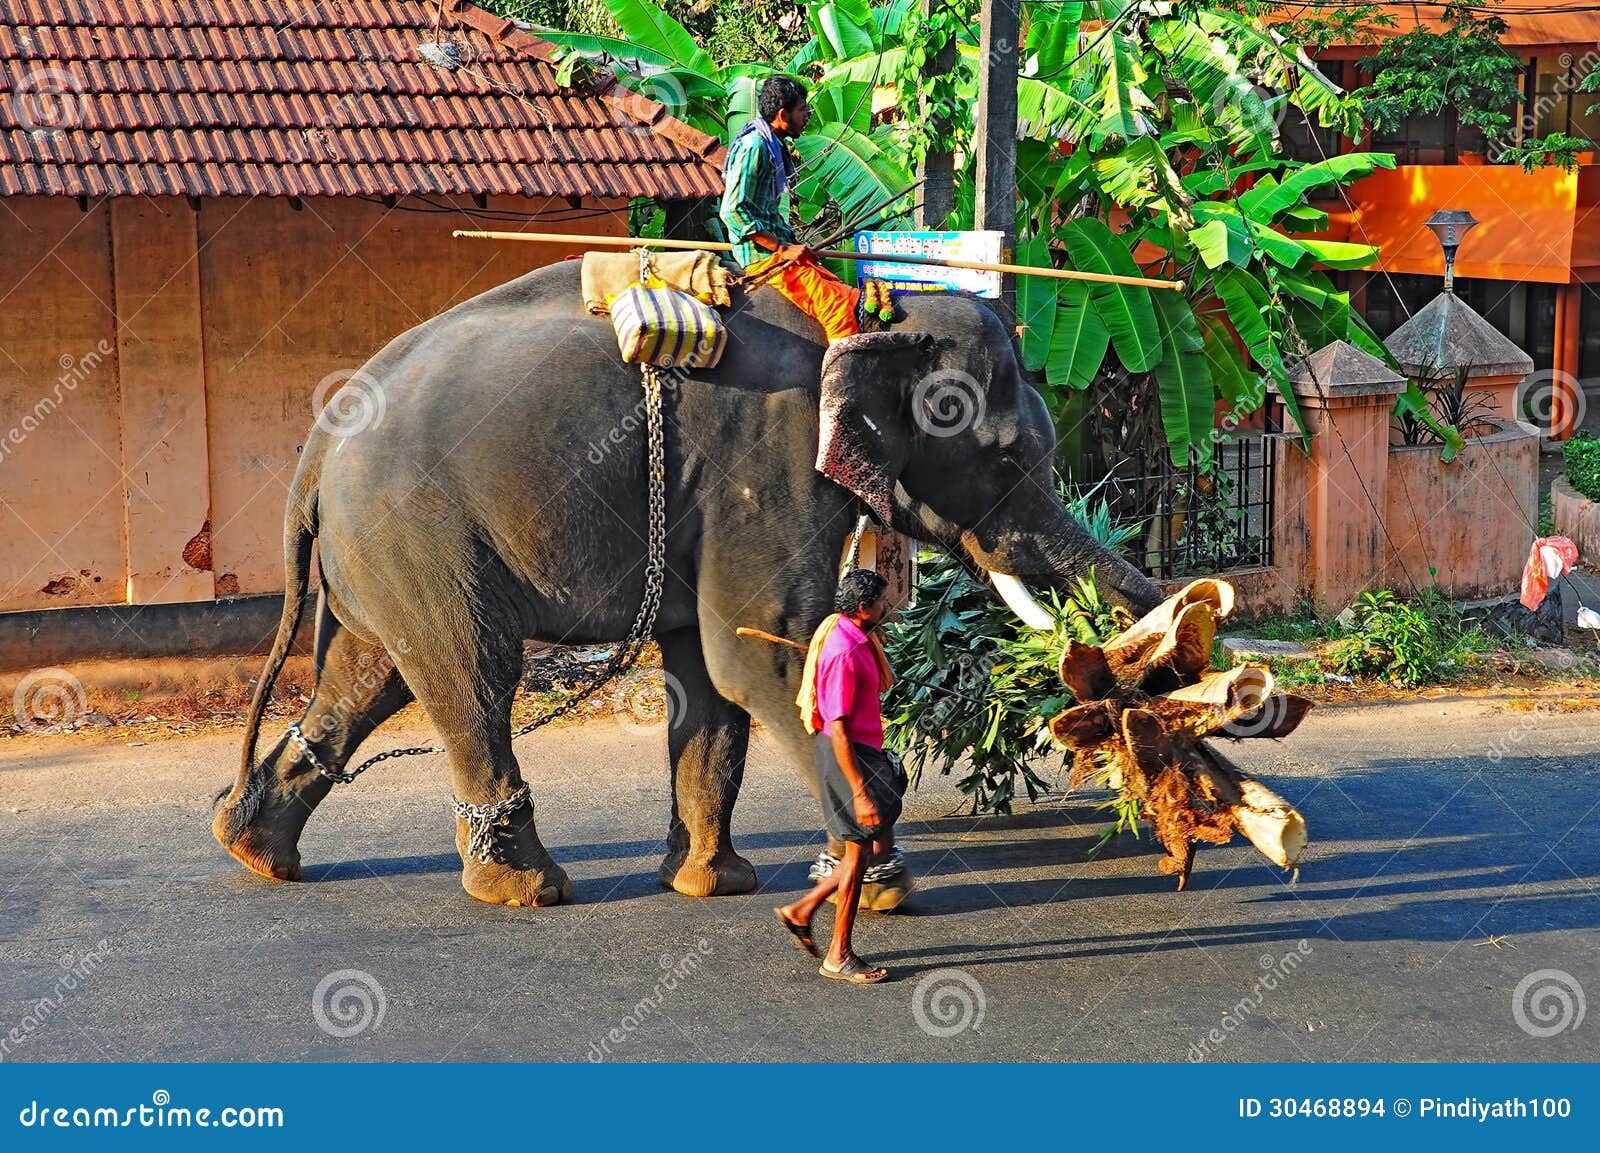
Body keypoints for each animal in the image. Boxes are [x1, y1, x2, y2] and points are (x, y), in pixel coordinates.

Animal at [211, 258, 1162, 907]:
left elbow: (709, 675)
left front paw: (714, 883)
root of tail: (318, 447)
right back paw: (528, 889)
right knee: (473, 674)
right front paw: (885, 882)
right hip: (421, 532)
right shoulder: (770, 462)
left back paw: (252, 847)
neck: (870, 305)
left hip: (383, 552)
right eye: (1003, 457)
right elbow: (760, 655)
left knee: (365, 678)